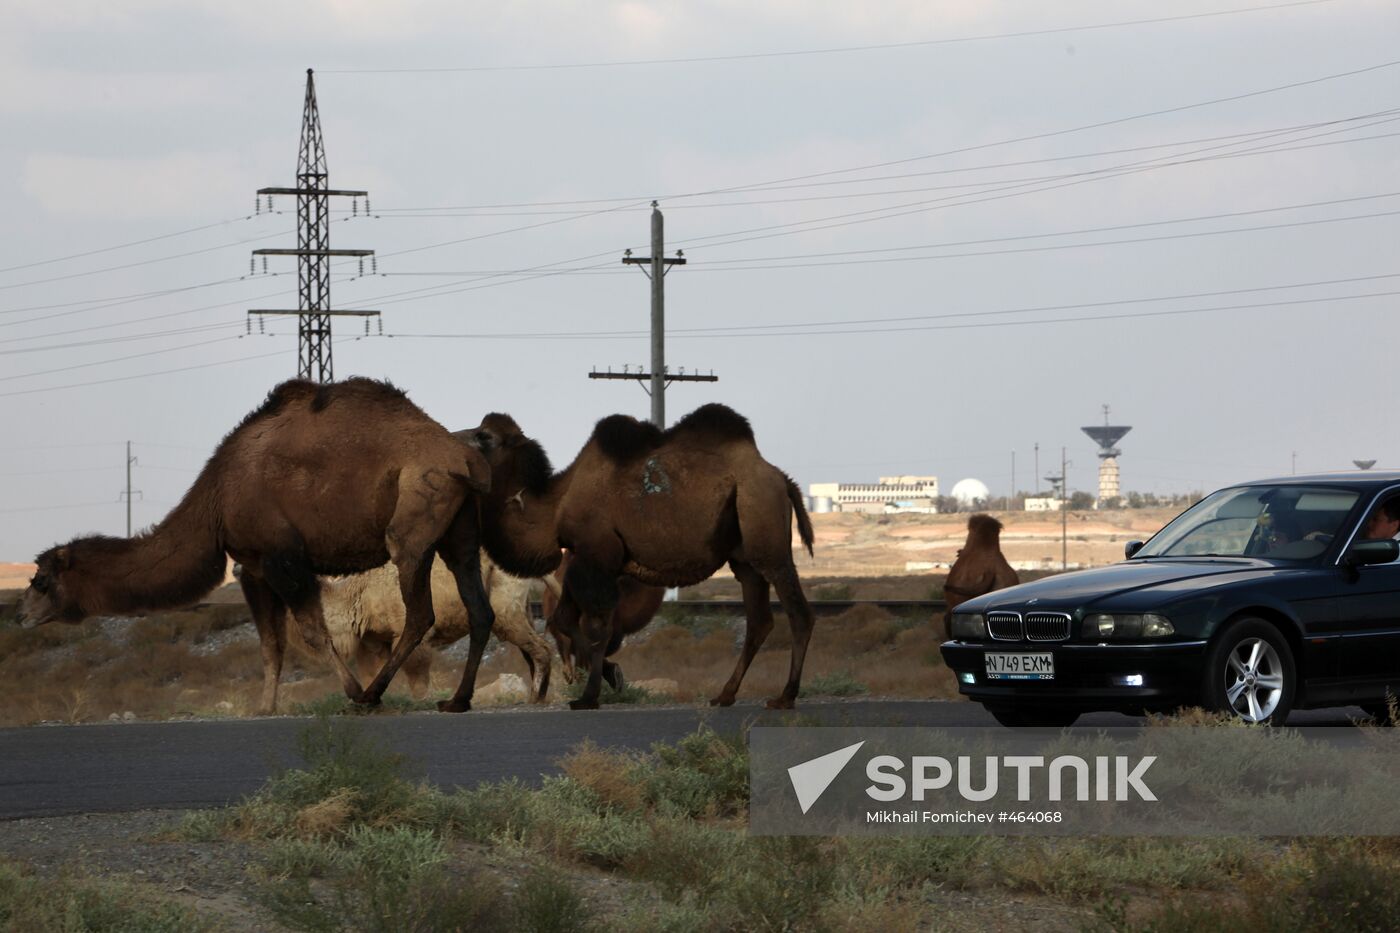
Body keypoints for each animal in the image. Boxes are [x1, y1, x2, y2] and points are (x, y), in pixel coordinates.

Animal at [17, 378, 498, 711]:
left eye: (40, 580)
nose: (21, 614)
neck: (215, 499)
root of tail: (464, 458)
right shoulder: (252, 566)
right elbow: (271, 642)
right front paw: (264, 707)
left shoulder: (283, 557)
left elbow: (312, 631)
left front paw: (352, 692)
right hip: (460, 529)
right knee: (479, 606)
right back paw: (457, 700)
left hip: (415, 517)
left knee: (419, 611)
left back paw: (374, 694)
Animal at [320, 551, 560, 697]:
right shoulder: (374, 638)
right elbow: (373, 670)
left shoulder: (408, 627)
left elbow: (416, 669)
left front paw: (421, 698)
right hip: (521, 603)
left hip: (504, 601)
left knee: (536, 646)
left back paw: (536, 697)